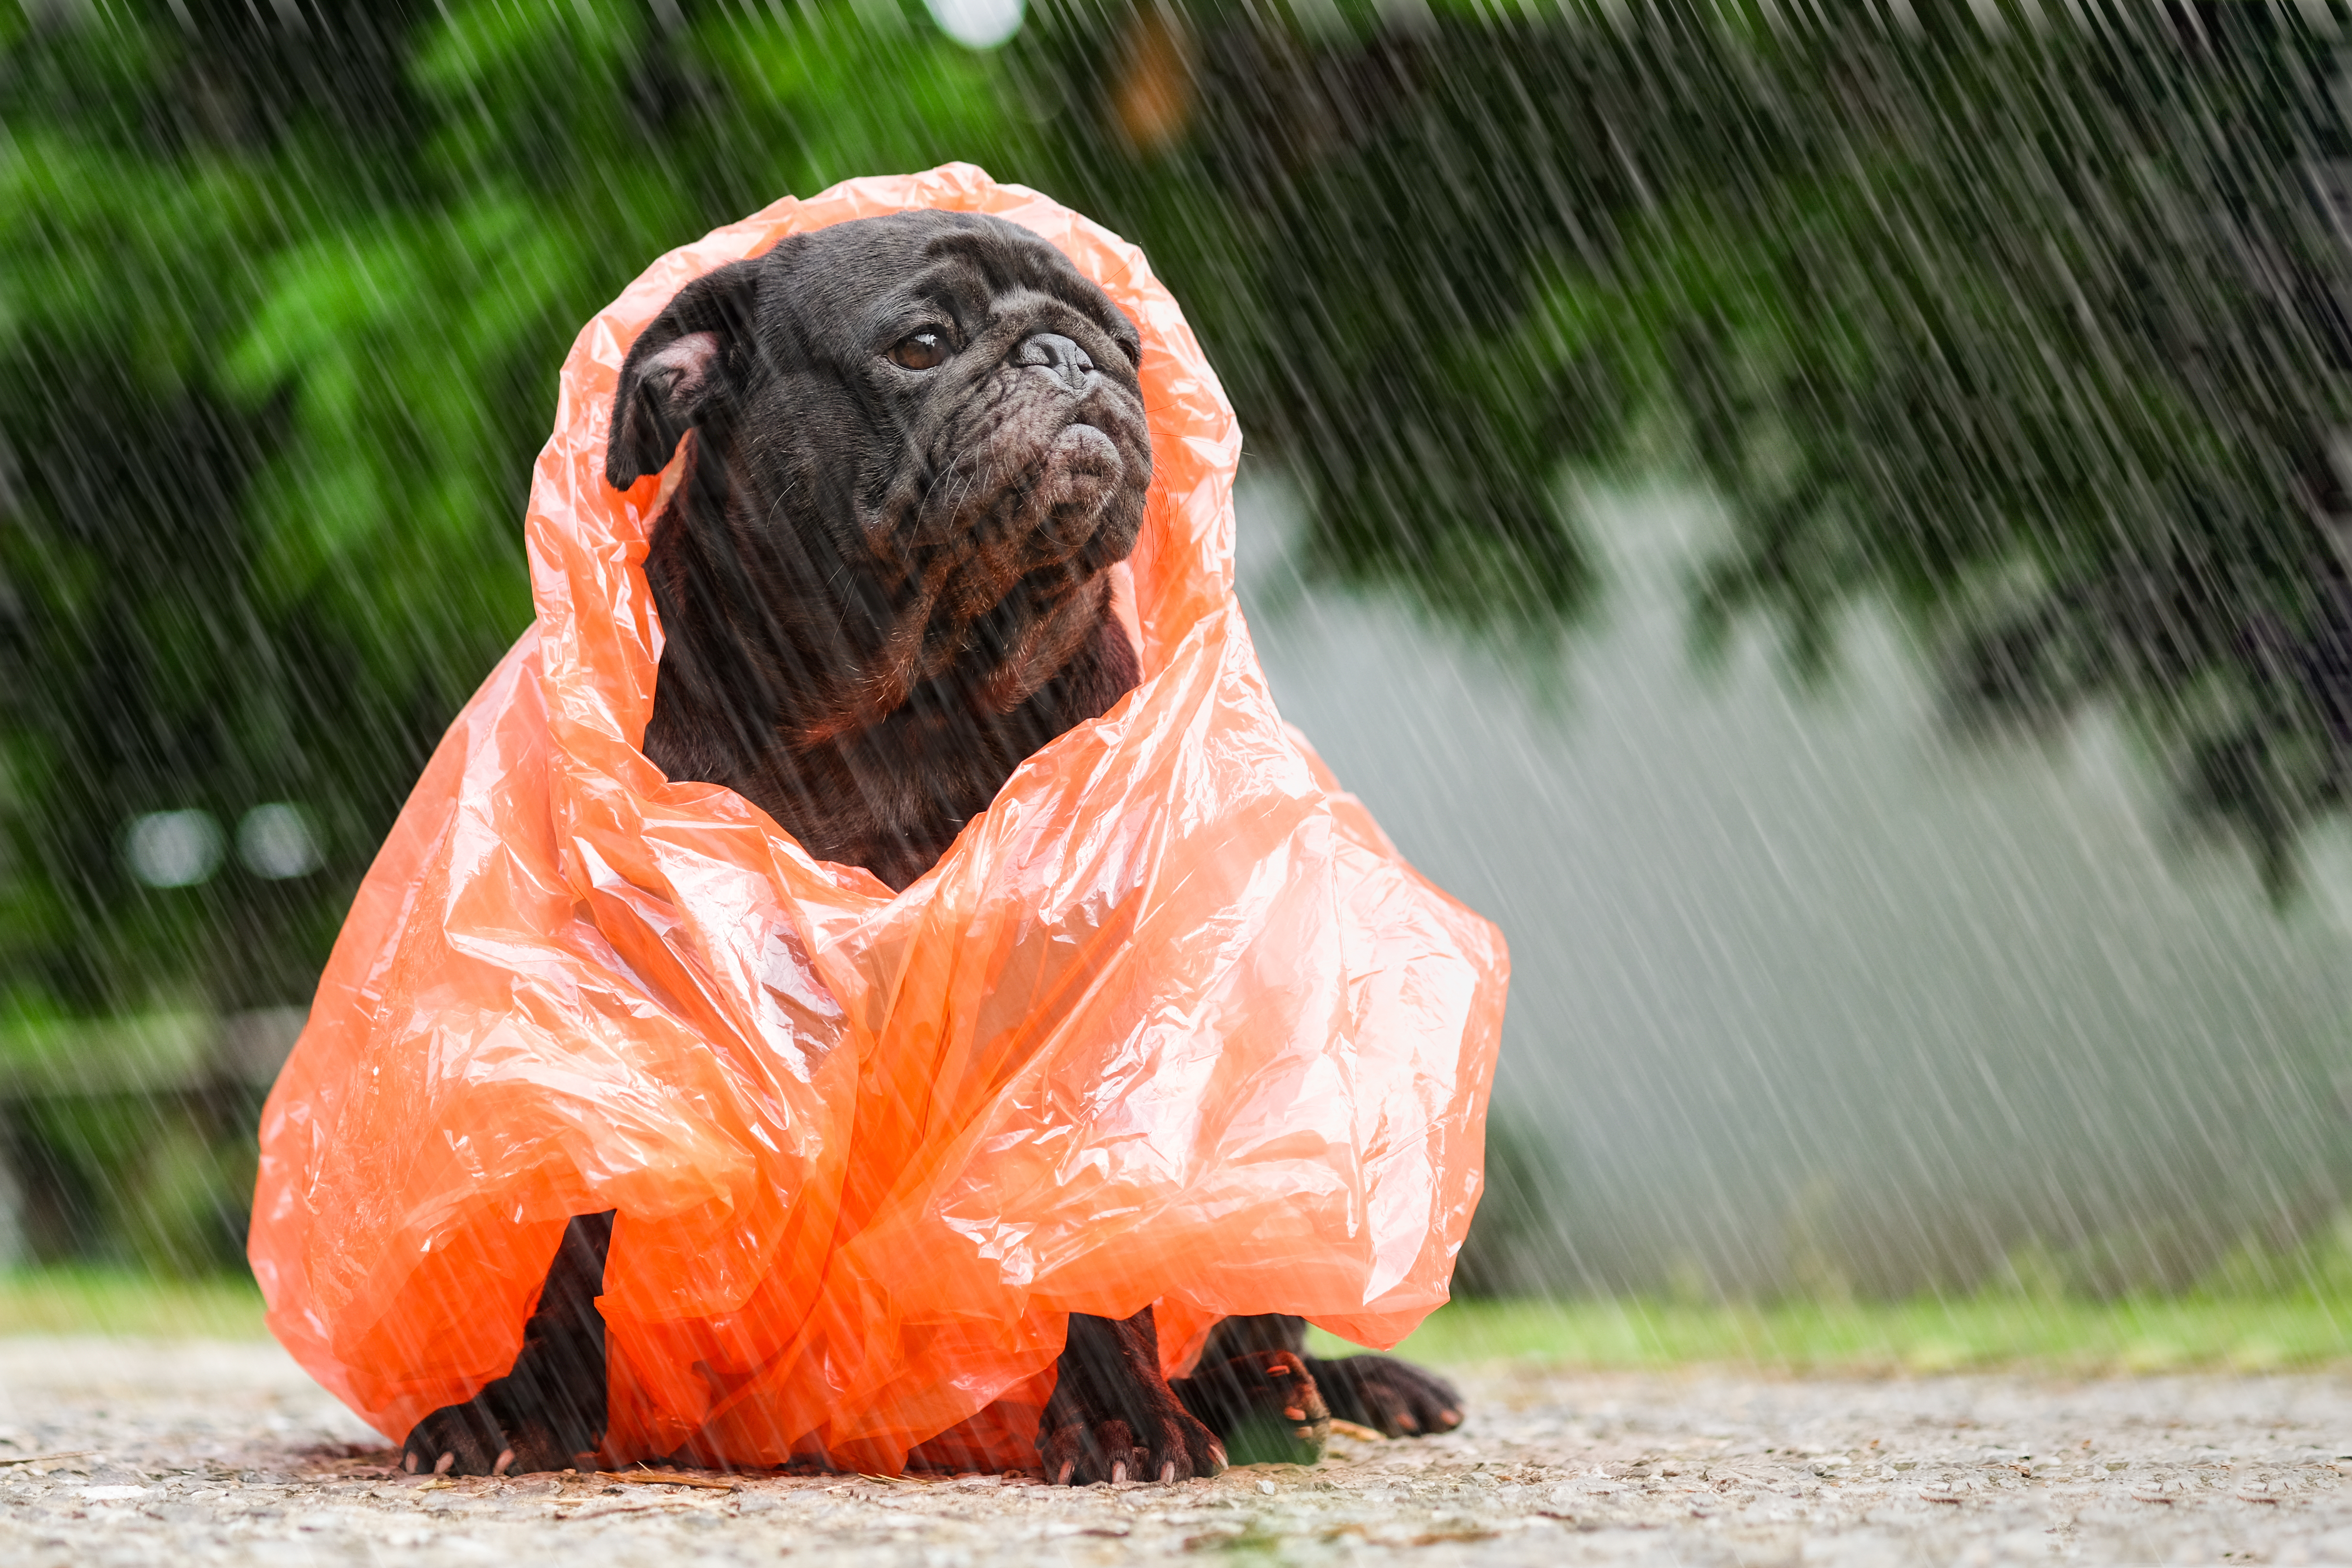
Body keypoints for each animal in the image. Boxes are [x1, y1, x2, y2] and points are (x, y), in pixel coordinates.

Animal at [407, 208, 1468, 1485]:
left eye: (1125, 344)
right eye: (922, 343)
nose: (1070, 356)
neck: (909, 700)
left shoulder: (1082, 1035)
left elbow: (1085, 1249)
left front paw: (1123, 1418)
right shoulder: (634, 1018)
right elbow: (577, 1233)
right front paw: (518, 1407)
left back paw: (1289, 1393)